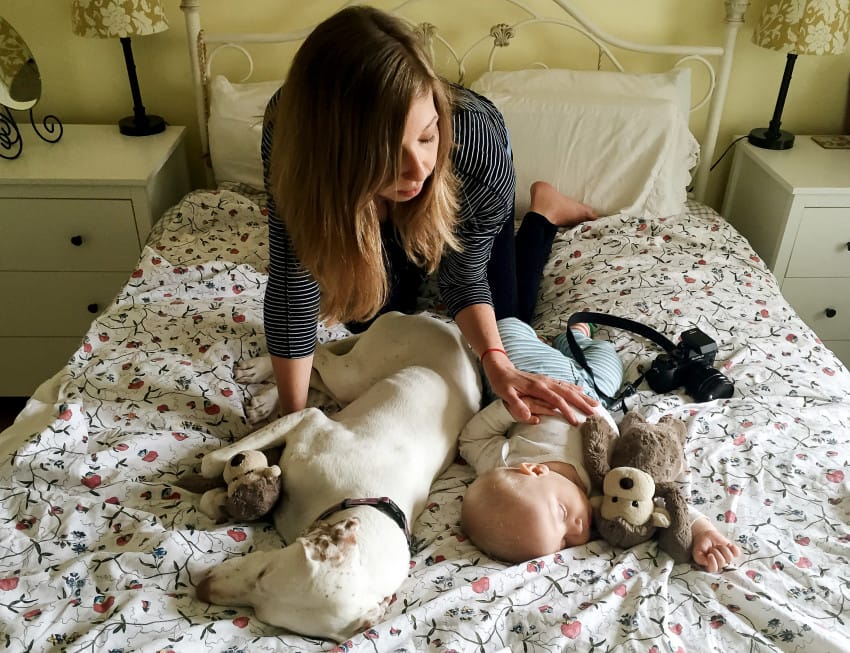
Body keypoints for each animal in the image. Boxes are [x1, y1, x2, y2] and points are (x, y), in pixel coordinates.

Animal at [195, 310, 480, 636]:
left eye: (264, 614)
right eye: (264, 572)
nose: (202, 588)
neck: (363, 500)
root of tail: (444, 326)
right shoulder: (310, 420)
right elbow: (214, 461)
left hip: (351, 384)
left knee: (316, 372)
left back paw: (264, 397)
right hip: (355, 371)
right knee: (315, 352)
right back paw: (260, 374)